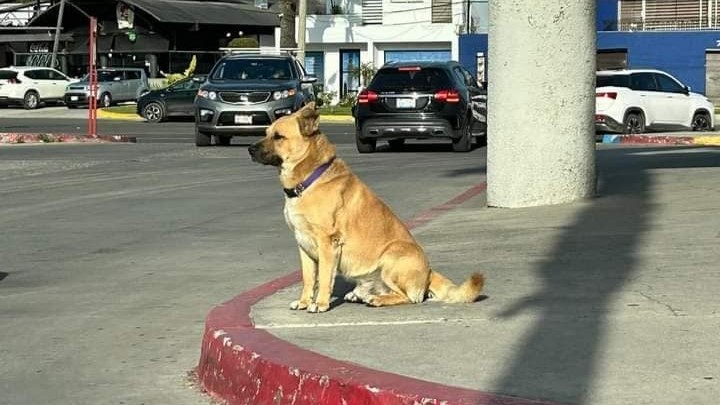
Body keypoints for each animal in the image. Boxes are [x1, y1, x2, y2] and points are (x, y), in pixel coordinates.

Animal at [248, 102, 484, 312]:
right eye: (266, 133)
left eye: (278, 137)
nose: (250, 149)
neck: (309, 178)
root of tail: (429, 272)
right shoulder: (303, 244)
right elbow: (308, 279)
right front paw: (304, 301)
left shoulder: (327, 243)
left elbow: (323, 278)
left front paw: (320, 304)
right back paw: (360, 294)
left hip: (391, 257)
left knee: (408, 297)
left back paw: (378, 300)